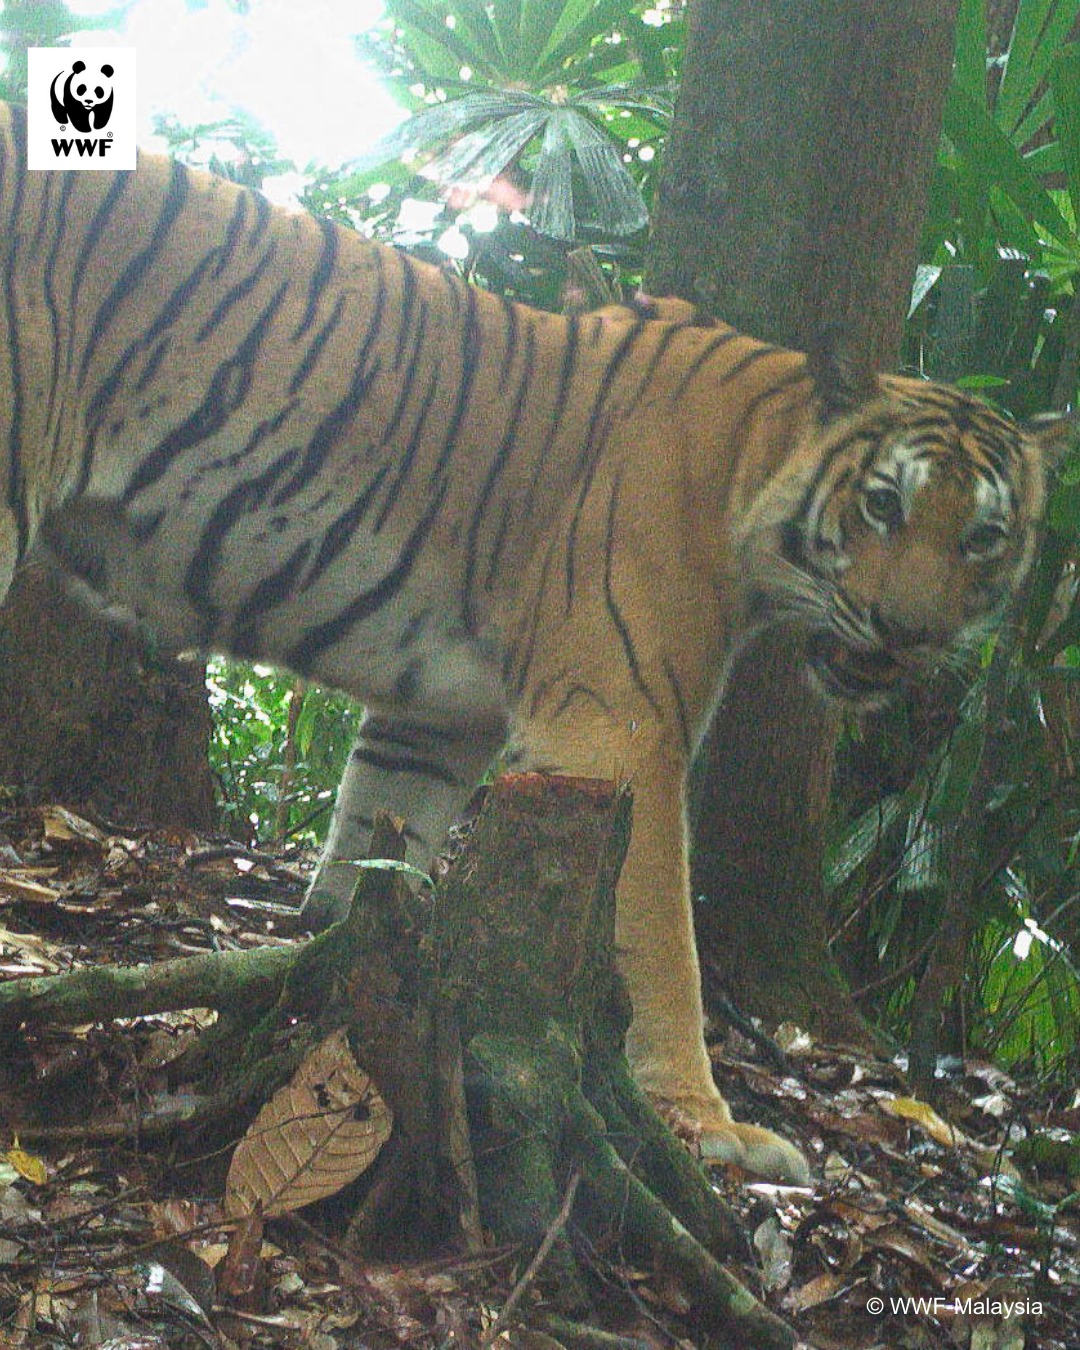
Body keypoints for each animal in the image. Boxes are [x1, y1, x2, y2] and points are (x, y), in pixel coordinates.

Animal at [1, 100, 1068, 1186]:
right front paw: (710, 1122)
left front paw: (327, 1002)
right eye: (885, 505)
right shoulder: (620, 727)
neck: (753, 465)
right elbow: (663, 939)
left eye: (984, 538)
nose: (910, 632)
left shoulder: (437, 718)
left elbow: (372, 858)